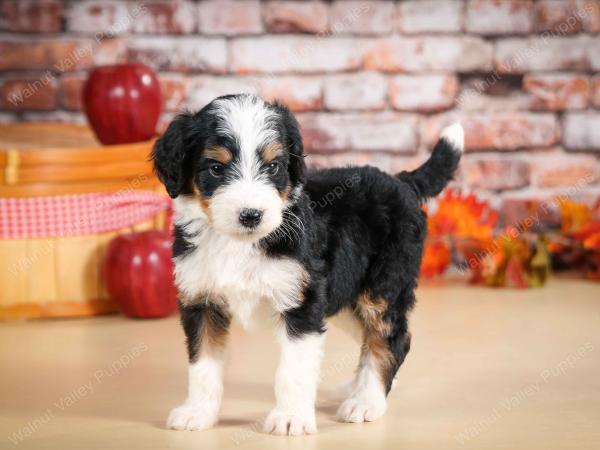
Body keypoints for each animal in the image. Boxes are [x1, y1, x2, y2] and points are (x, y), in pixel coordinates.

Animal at [151, 94, 464, 436]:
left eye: (273, 166)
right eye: (216, 168)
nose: (251, 215)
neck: (239, 243)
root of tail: (401, 181)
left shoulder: (302, 304)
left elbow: (294, 369)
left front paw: (291, 417)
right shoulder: (201, 301)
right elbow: (203, 364)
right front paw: (197, 413)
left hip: (382, 287)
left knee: (391, 339)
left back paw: (366, 401)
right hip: (344, 296)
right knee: (374, 337)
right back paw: (357, 388)